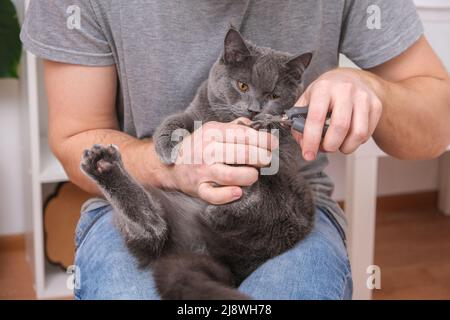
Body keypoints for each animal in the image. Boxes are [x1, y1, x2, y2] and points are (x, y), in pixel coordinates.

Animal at [80, 28, 312, 300]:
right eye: (242, 85)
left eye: (274, 95)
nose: (254, 110)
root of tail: (205, 253)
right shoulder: (195, 110)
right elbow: (174, 120)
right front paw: (167, 148)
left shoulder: (286, 156)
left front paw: (266, 123)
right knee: (152, 229)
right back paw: (102, 165)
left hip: (294, 201)